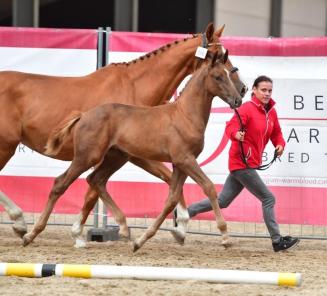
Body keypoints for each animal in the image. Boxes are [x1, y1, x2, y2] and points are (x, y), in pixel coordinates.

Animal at [0, 24, 247, 243]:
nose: (242, 89)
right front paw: (79, 232)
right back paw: (21, 223)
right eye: (216, 54)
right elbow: (92, 193)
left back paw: (21, 224)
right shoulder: (133, 154)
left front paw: (180, 227)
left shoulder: (135, 153)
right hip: (9, 146)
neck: (135, 86)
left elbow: (168, 180)